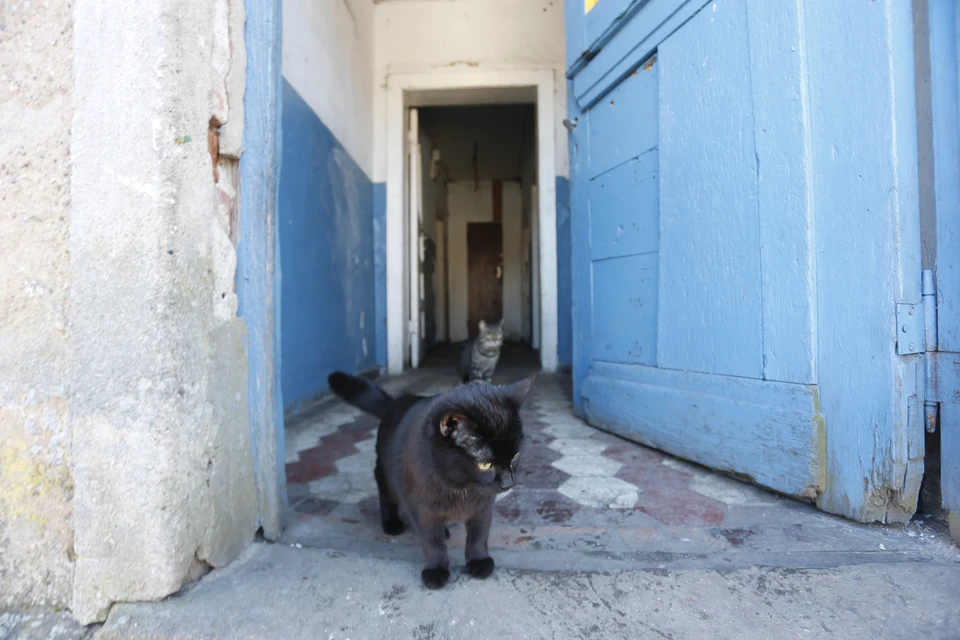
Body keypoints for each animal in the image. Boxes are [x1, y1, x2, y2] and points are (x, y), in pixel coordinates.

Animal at [324, 370, 532, 592]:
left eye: (515, 456)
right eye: (485, 465)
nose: (508, 483)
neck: (459, 487)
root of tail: (394, 403)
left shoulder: (484, 506)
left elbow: (479, 534)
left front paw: (479, 561)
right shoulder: (422, 508)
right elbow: (432, 541)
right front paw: (436, 571)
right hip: (385, 473)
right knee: (386, 495)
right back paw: (392, 523)